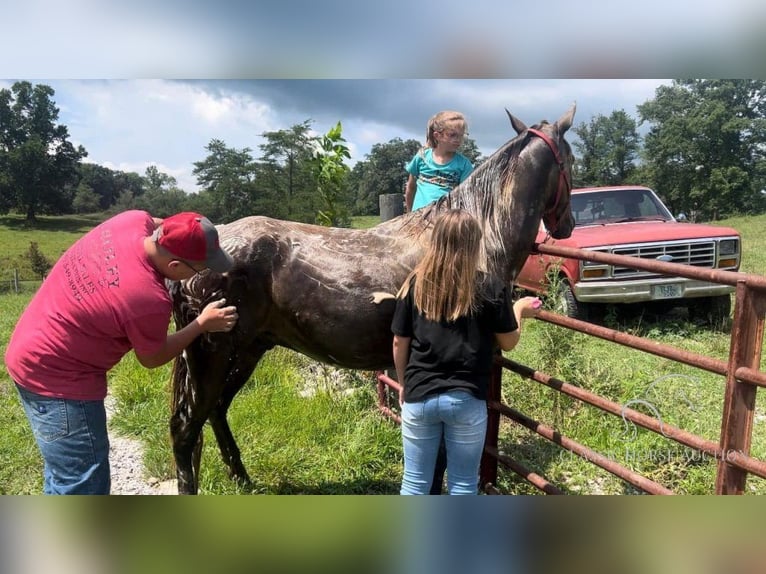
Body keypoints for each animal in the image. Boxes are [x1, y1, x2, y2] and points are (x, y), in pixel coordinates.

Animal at [168, 104, 576, 496]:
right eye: (571, 159)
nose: (567, 226)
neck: (473, 241)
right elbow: (440, 455)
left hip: (248, 351)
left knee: (216, 412)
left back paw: (242, 479)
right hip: (211, 356)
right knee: (185, 428)